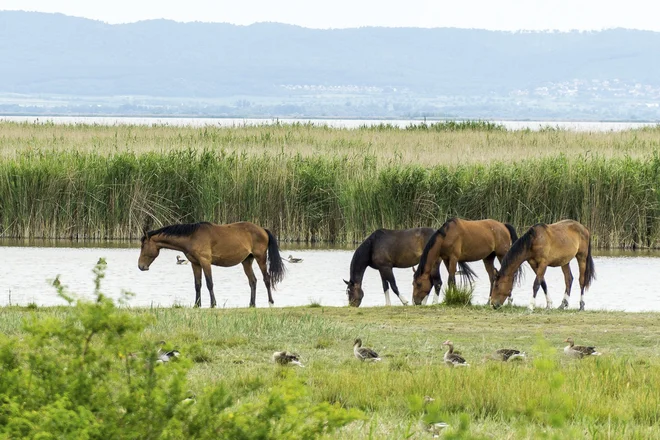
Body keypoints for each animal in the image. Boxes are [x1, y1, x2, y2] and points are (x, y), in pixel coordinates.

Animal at [138, 222, 284, 308]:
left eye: (143, 245)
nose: (141, 266)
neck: (191, 237)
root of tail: (263, 229)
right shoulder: (195, 264)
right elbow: (198, 284)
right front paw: (197, 305)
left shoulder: (205, 262)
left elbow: (209, 283)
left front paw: (213, 304)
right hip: (247, 261)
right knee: (253, 281)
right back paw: (252, 304)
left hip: (260, 258)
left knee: (266, 279)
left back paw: (271, 302)